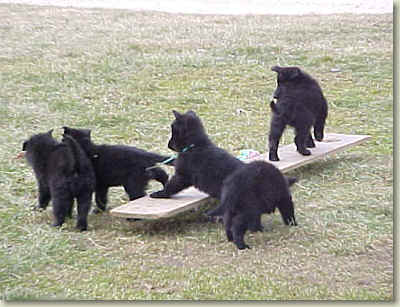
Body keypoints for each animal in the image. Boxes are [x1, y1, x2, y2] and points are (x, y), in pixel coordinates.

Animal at [151, 110, 296, 250]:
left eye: (174, 132)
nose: (168, 145)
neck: (195, 145)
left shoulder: (182, 176)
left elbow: (170, 187)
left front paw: (159, 194)